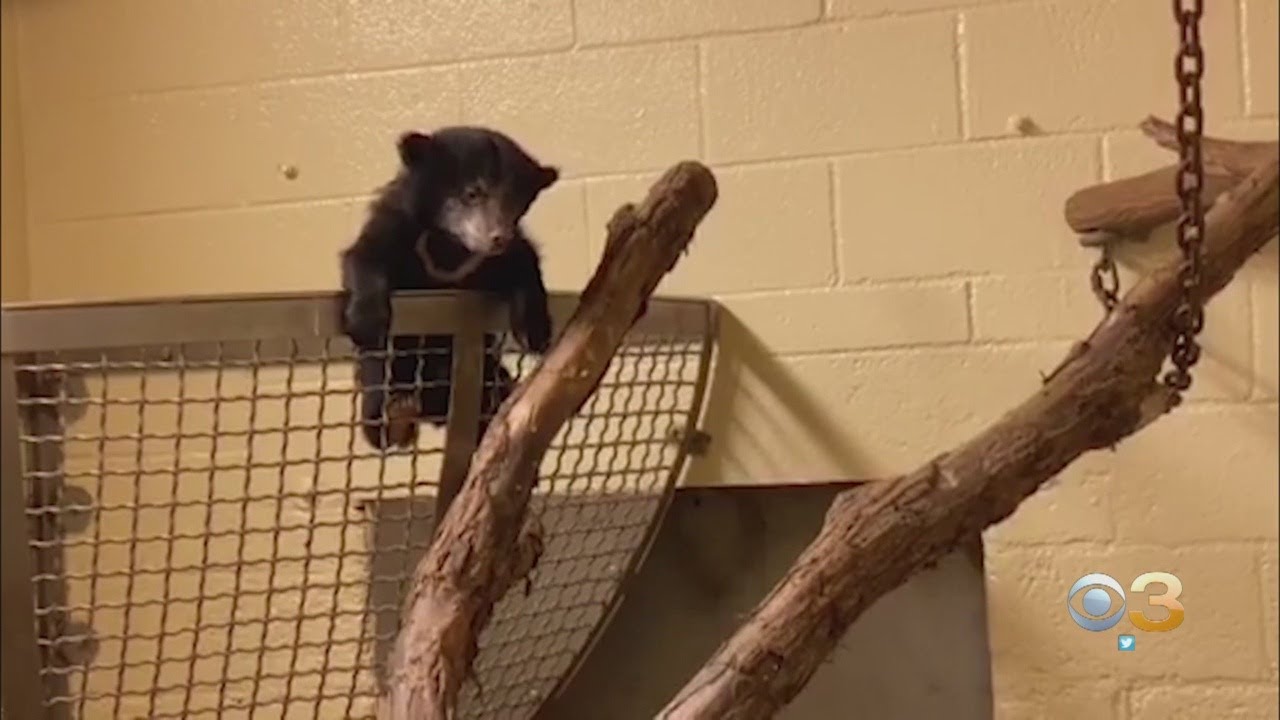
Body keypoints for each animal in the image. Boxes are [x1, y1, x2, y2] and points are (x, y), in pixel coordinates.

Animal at [339, 126, 559, 451]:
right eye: (472, 193)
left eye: (516, 202)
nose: (499, 237)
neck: (450, 245)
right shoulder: (395, 224)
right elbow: (364, 258)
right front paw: (366, 322)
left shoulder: (491, 260)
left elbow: (525, 261)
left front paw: (536, 332)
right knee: (378, 395)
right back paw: (396, 418)